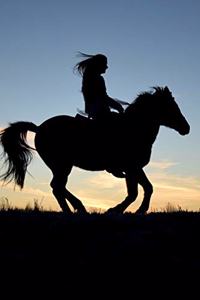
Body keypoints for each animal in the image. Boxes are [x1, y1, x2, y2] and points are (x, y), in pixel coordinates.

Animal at [0, 85, 190, 214]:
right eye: (170, 107)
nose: (186, 128)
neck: (134, 128)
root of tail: (39, 128)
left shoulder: (135, 169)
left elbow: (146, 188)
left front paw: (135, 210)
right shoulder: (131, 168)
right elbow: (135, 192)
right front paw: (116, 210)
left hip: (61, 166)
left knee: (58, 187)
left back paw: (76, 209)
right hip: (62, 165)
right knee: (57, 186)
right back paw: (76, 209)